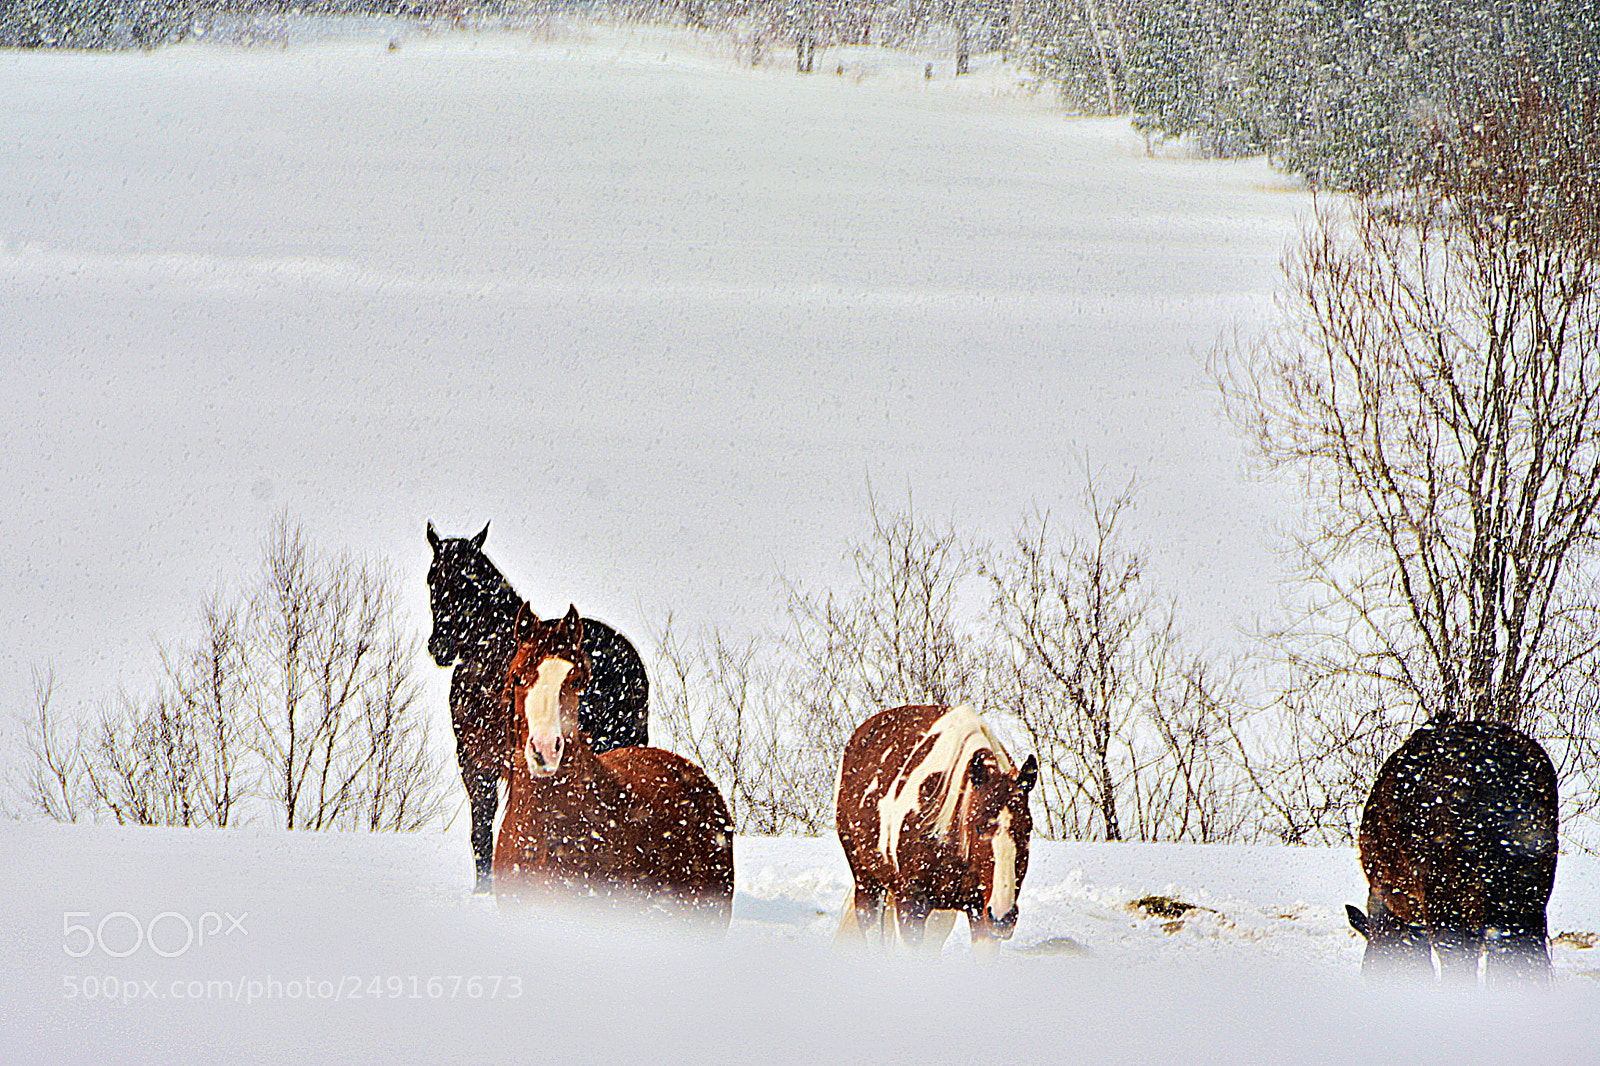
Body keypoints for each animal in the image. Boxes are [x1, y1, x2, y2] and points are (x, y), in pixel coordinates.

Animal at [835, 703, 1038, 950]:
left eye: (1027, 829)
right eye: (980, 827)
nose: (1001, 916)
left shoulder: (980, 914)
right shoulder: (911, 905)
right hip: (868, 885)